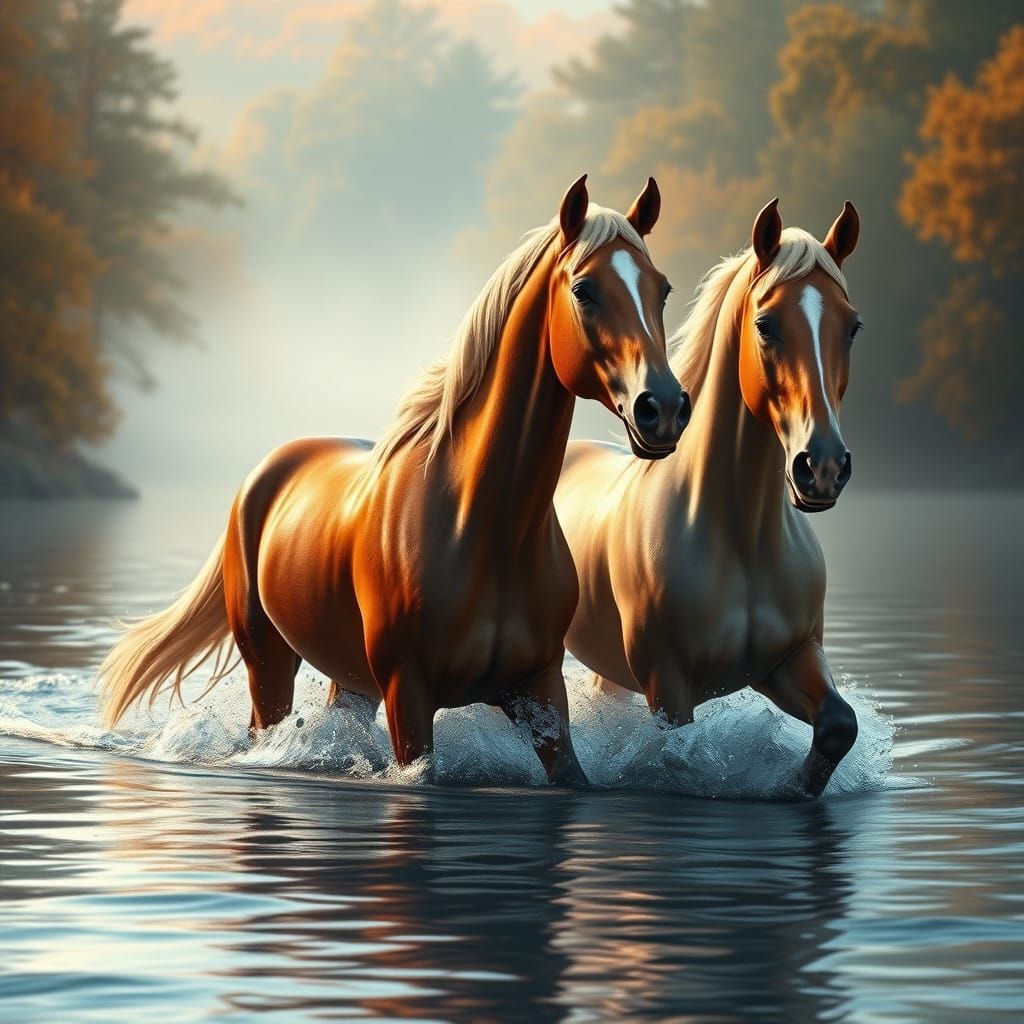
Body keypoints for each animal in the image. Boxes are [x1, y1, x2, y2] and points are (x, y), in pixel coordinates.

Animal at [99, 174, 690, 786]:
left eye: (662, 290)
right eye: (584, 290)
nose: (663, 408)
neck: (483, 527)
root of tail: (264, 474)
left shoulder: (541, 689)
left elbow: (570, 772)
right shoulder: (409, 692)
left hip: (352, 679)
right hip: (268, 659)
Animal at [554, 198, 863, 796]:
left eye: (853, 327)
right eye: (765, 324)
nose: (822, 468)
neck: (740, 537)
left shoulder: (789, 660)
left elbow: (840, 725)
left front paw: (791, 790)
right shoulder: (669, 686)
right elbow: (678, 756)